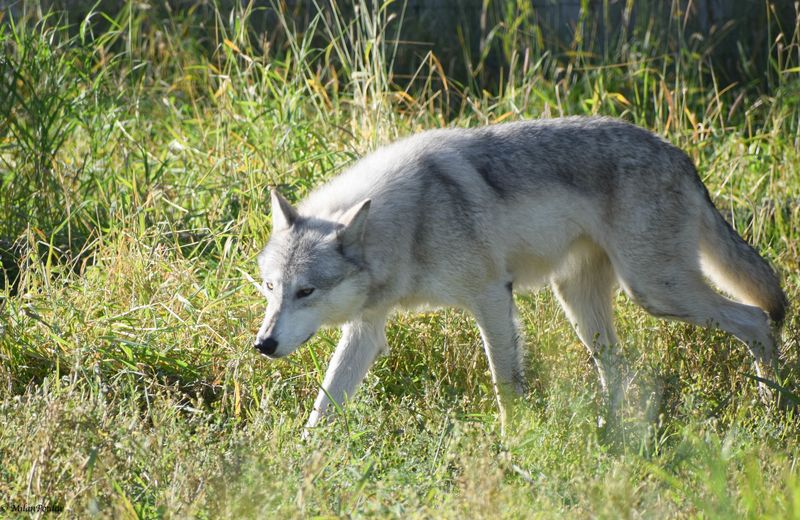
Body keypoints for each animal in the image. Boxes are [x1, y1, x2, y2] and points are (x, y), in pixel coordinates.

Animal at [255, 116, 788, 432]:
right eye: (272, 288)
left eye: (306, 291)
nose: (262, 344)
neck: (409, 223)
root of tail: (681, 157)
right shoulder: (366, 328)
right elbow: (323, 407)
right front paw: (307, 465)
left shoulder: (492, 296)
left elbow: (505, 384)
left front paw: (515, 445)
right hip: (584, 305)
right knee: (621, 370)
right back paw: (611, 431)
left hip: (656, 292)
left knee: (758, 320)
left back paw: (773, 408)